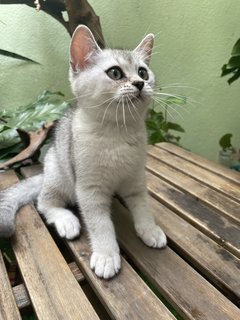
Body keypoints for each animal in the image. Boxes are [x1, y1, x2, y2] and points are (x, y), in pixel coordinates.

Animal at [0, 25, 167, 278]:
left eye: (143, 72)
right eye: (115, 73)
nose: (140, 83)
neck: (117, 134)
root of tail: (45, 173)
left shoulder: (136, 180)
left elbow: (143, 207)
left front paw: (150, 229)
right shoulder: (90, 189)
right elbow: (100, 224)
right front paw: (106, 255)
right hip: (59, 175)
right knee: (44, 202)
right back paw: (67, 221)